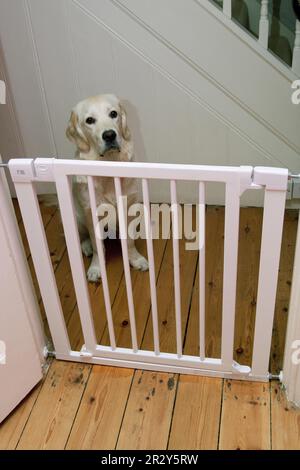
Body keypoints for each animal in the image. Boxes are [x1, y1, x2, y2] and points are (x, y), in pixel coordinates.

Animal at [67, 93, 149, 280]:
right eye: (89, 120)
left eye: (113, 114)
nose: (110, 135)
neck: (109, 164)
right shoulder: (91, 212)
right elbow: (97, 245)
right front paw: (96, 268)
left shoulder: (128, 206)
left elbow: (129, 240)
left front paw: (135, 259)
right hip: (77, 215)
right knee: (83, 236)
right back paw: (86, 246)